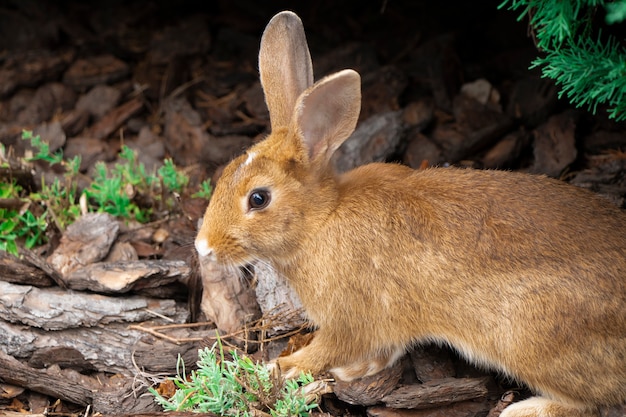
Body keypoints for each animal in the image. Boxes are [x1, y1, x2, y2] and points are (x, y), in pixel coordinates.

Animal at [196, 9, 624, 416]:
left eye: (258, 199)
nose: (203, 247)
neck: (321, 221)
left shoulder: (348, 320)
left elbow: (324, 350)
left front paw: (278, 368)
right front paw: (358, 371)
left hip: (530, 343)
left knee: (594, 403)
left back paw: (525, 410)